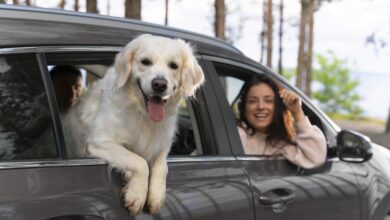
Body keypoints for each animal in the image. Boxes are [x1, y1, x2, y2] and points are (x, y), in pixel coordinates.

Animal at [61, 34, 204, 215]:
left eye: (173, 65)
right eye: (145, 61)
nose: (159, 84)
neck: (142, 114)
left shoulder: (162, 145)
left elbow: (162, 166)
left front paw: (156, 196)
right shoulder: (99, 142)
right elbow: (139, 162)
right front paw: (136, 195)